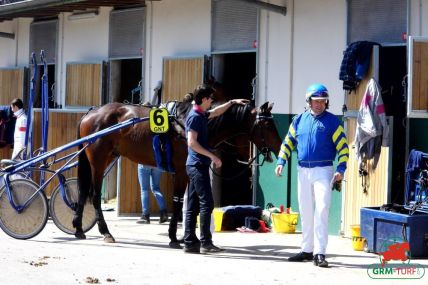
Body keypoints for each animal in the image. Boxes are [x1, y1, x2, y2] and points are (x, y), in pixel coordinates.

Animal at [72, 98, 280, 245]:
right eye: (267, 125)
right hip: (98, 162)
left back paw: (79, 229)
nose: (279, 147)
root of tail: (92, 112)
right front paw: (174, 237)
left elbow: (192, 204)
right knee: (94, 195)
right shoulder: (181, 171)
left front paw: (188, 237)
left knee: (82, 191)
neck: (186, 125)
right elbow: (179, 202)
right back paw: (105, 232)